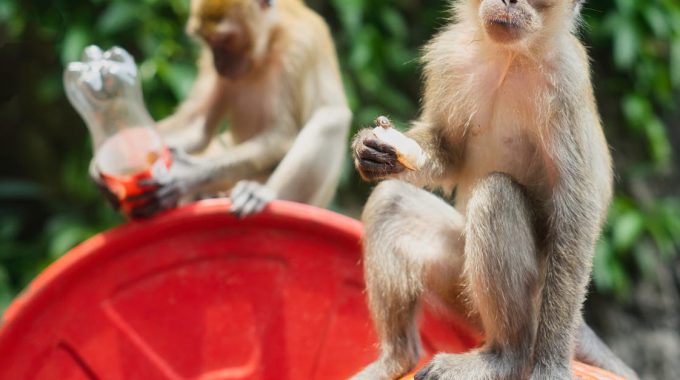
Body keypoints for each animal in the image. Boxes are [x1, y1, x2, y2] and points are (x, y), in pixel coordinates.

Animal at [99, 0, 354, 218]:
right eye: (208, 42)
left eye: (225, 40)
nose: (218, 63)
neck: (269, 42)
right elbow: (198, 126)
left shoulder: (296, 49)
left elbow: (280, 136)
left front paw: (187, 175)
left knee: (330, 119)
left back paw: (260, 192)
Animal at [350, 0, 636, 380]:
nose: (508, 1)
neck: (509, 57)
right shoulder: (448, 56)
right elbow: (448, 150)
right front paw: (375, 150)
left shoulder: (566, 81)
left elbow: (576, 213)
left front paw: (550, 366)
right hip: (461, 282)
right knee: (391, 201)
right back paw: (397, 359)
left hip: (538, 294)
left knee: (496, 196)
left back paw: (506, 356)